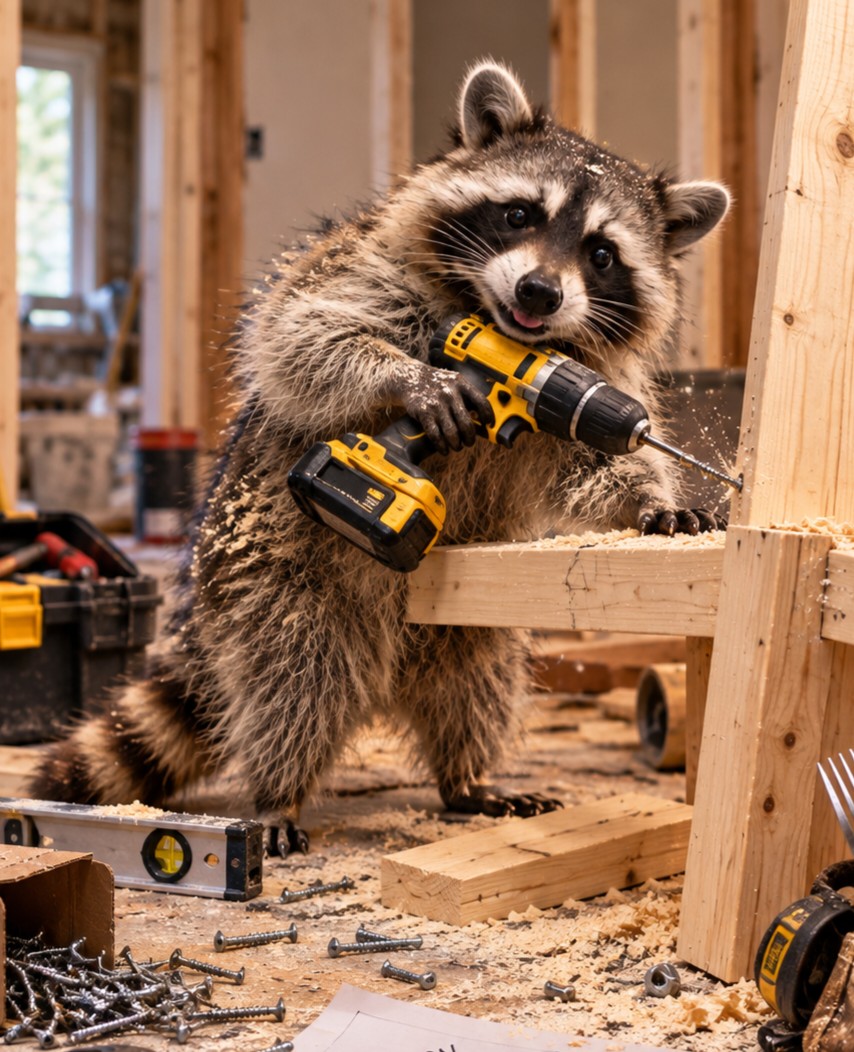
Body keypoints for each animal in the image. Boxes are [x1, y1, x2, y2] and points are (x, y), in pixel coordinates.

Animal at [31, 61, 729, 853]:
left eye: (602, 253)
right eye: (520, 214)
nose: (540, 291)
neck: (500, 328)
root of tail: (393, 667)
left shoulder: (570, 386)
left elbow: (595, 459)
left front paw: (653, 499)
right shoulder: (360, 265)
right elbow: (304, 333)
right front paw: (407, 379)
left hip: (463, 625)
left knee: (478, 679)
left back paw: (466, 777)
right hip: (272, 582)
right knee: (294, 676)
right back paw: (279, 790)